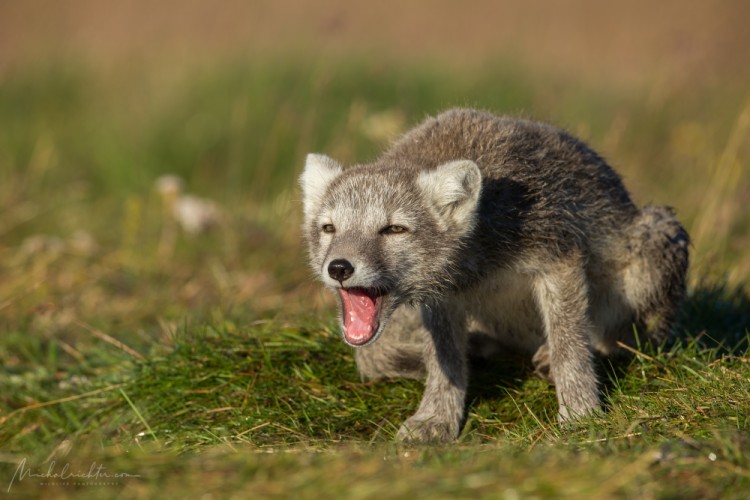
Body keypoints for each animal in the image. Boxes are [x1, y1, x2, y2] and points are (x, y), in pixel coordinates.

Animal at [300, 107, 692, 444]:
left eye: (394, 229)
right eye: (329, 228)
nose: (339, 267)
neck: (477, 265)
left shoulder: (559, 258)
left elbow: (569, 345)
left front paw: (581, 413)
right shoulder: (442, 297)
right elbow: (443, 362)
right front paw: (436, 418)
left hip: (652, 248)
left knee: (628, 339)